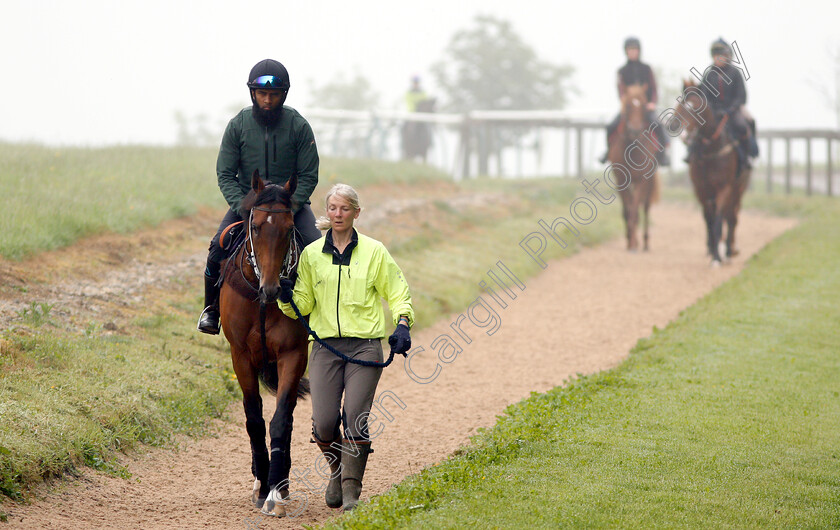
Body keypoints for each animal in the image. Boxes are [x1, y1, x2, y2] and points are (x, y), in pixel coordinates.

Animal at [218, 170, 310, 516]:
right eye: (256, 226)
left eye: (288, 228)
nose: (271, 289)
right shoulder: (240, 355)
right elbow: (254, 419)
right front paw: (261, 484)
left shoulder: (293, 354)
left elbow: (281, 419)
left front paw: (275, 492)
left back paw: (280, 482)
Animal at [608, 84, 660, 252]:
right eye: (628, 106)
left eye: (643, 106)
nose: (635, 130)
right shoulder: (621, 181)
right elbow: (627, 210)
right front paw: (629, 240)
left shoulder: (641, 180)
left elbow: (635, 210)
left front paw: (634, 243)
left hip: (649, 182)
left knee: (645, 208)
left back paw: (645, 242)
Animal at [672, 78, 752, 264]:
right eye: (681, 103)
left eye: (695, 107)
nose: (673, 125)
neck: (711, 152)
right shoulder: (701, 190)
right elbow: (709, 220)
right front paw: (713, 252)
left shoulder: (724, 188)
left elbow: (719, 220)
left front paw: (717, 258)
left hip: (738, 189)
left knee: (732, 217)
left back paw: (729, 251)